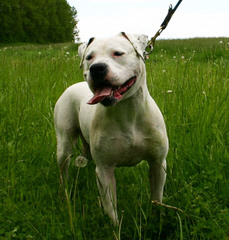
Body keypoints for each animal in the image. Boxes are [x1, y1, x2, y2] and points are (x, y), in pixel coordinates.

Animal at [54, 32, 168, 225]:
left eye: (118, 53)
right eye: (89, 57)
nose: (96, 68)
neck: (127, 112)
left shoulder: (158, 163)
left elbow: (156, 198)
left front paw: (157, 220)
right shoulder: (104, 169)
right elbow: (110, 208)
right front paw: (115, 227)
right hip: (64, 144)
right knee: (63, 170)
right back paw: (64, 194)